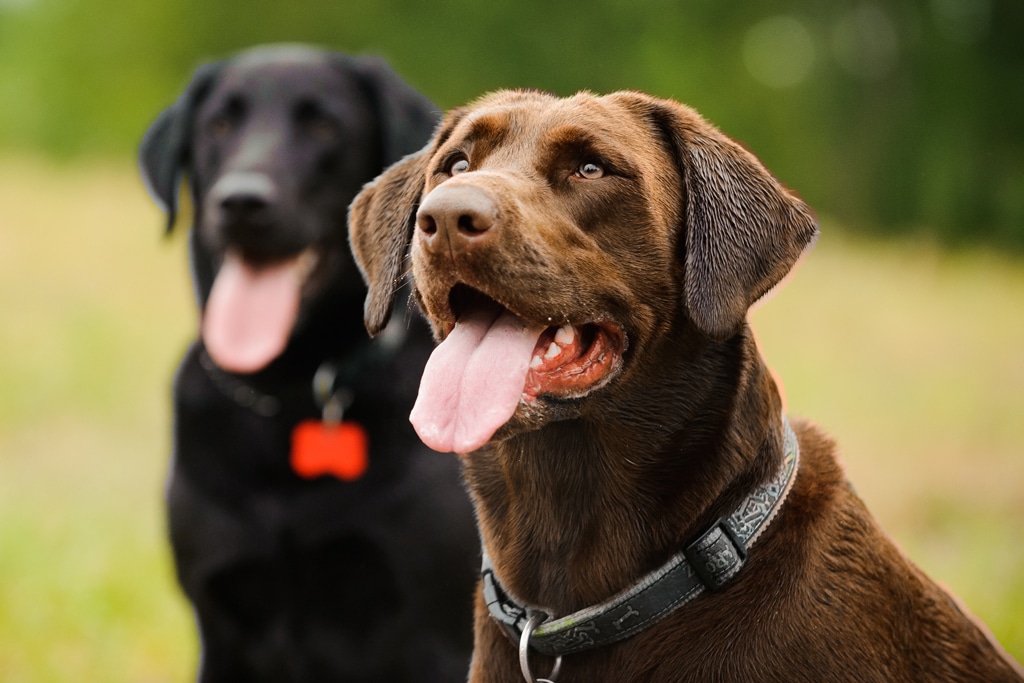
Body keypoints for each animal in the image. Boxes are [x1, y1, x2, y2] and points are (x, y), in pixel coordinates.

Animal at [136, 45, 479, 679]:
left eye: (324, 126)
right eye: (218, 125)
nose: (241, 201)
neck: (289, 390)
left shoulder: (435, 631)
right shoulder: (220, 624)